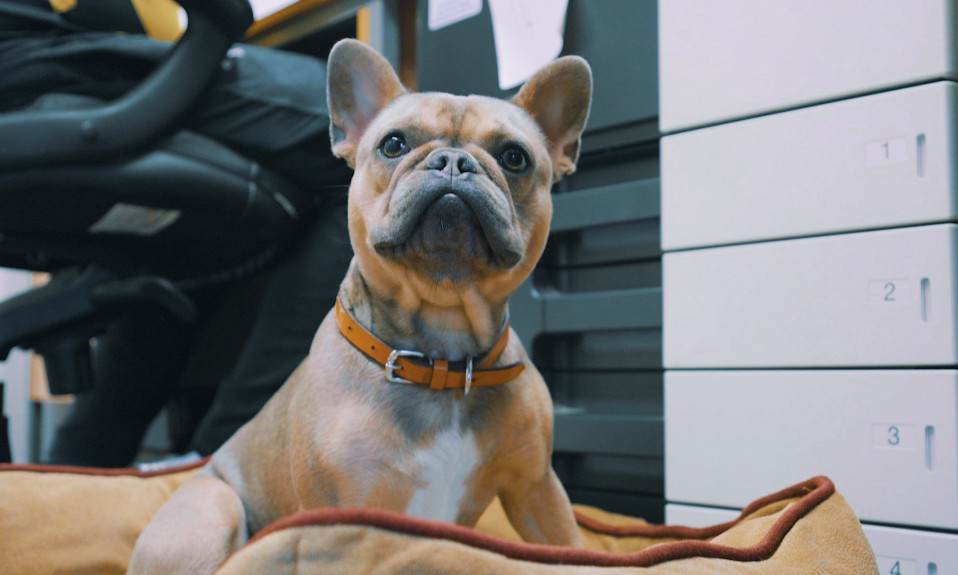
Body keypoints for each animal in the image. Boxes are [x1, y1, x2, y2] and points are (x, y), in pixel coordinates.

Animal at [127, 38, 592, 572]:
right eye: (393, 145)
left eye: (514, 157)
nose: (454, 161)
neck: (442, 356)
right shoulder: (343, 512)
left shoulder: (537, 489)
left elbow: (571, 550)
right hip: (211, 511)